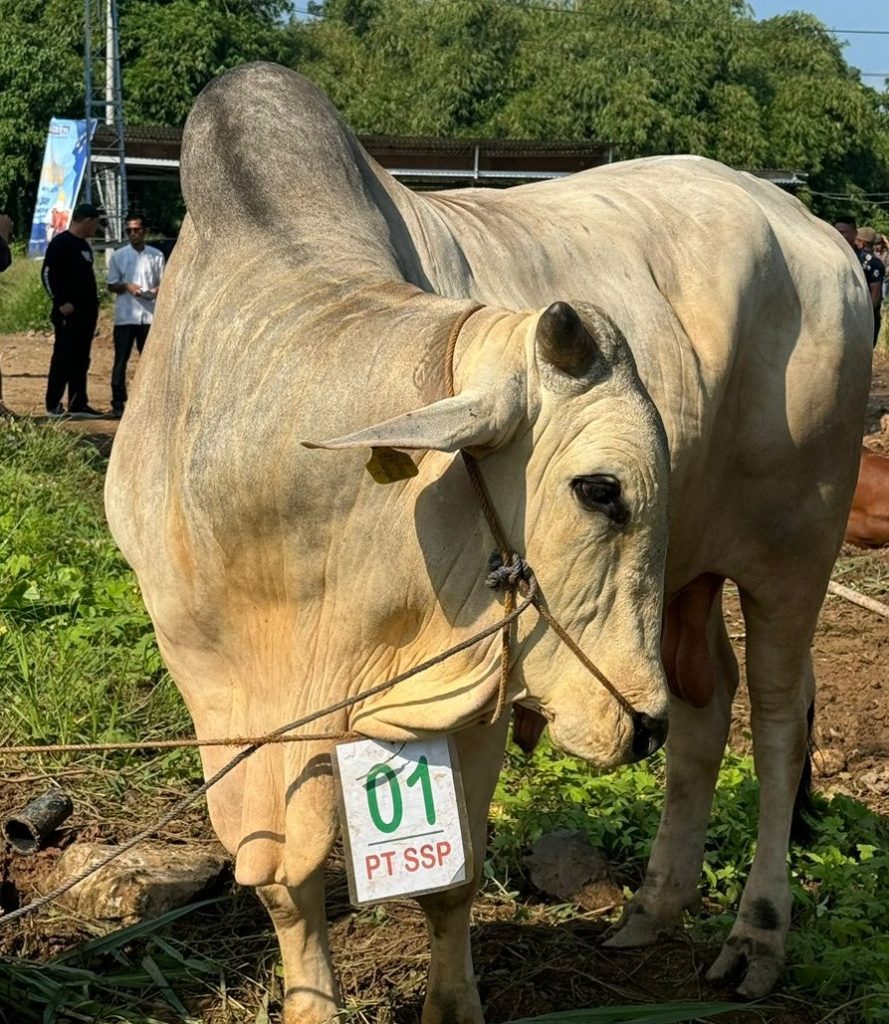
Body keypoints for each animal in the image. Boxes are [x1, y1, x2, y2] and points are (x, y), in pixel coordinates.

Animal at [103, 66, 868, 1024]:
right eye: (600, 489)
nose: (636, 725)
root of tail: (811, 230)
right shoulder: (218, 697)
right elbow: (282, 878)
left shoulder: (473, 688)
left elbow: (449, 877)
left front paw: (453, 1002)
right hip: (684, 581)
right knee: (704, 711)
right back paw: (653, 904)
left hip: (793, 552)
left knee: (774, 725)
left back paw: (755, 934)